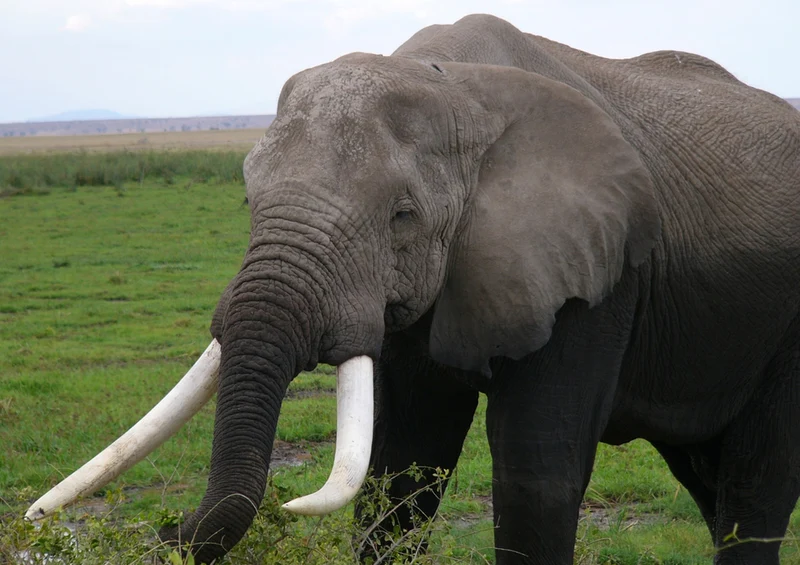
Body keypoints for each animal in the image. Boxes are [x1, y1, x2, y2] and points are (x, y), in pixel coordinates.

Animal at [25, 12, 800, 565]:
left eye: (402, 215)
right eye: (247, 201)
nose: (159, 535)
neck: (455, 84)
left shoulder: (597, 277)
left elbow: (536, 478)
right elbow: (399, 470)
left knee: (754, 486)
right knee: (709, 478)